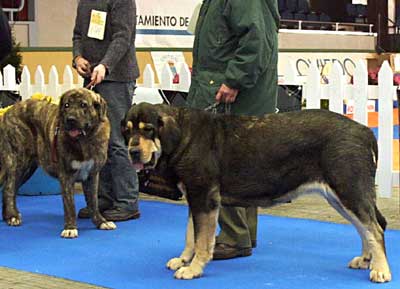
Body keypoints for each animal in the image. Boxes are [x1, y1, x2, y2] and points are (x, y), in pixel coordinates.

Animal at [0, 87, 115, 236]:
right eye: (66, 105)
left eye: (83, 105)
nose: (70, 119)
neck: (84, 140)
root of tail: (8, 111)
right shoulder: (66, 175)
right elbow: (70, 204)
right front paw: (70, 228)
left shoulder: (93, 174)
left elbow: (93, 202)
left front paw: (101, 222)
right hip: (18, 161)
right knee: (9, 188)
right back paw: (12, 216)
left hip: (27, 168)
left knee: (10, 188)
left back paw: (8, 216)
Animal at [121, 103, 390, 282]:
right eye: (128, 130)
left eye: (148, 129)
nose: (132, 151)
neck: (185, 136)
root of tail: (366, 131)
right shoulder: (195, 198)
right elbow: (190, 235)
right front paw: (184, 259)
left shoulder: (204, 197)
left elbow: (202, 240)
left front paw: (194, 268)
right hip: (340, 197)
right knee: (364, 227)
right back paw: (366, 260)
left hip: (349, 189)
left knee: (374, 229)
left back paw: (381, 270)